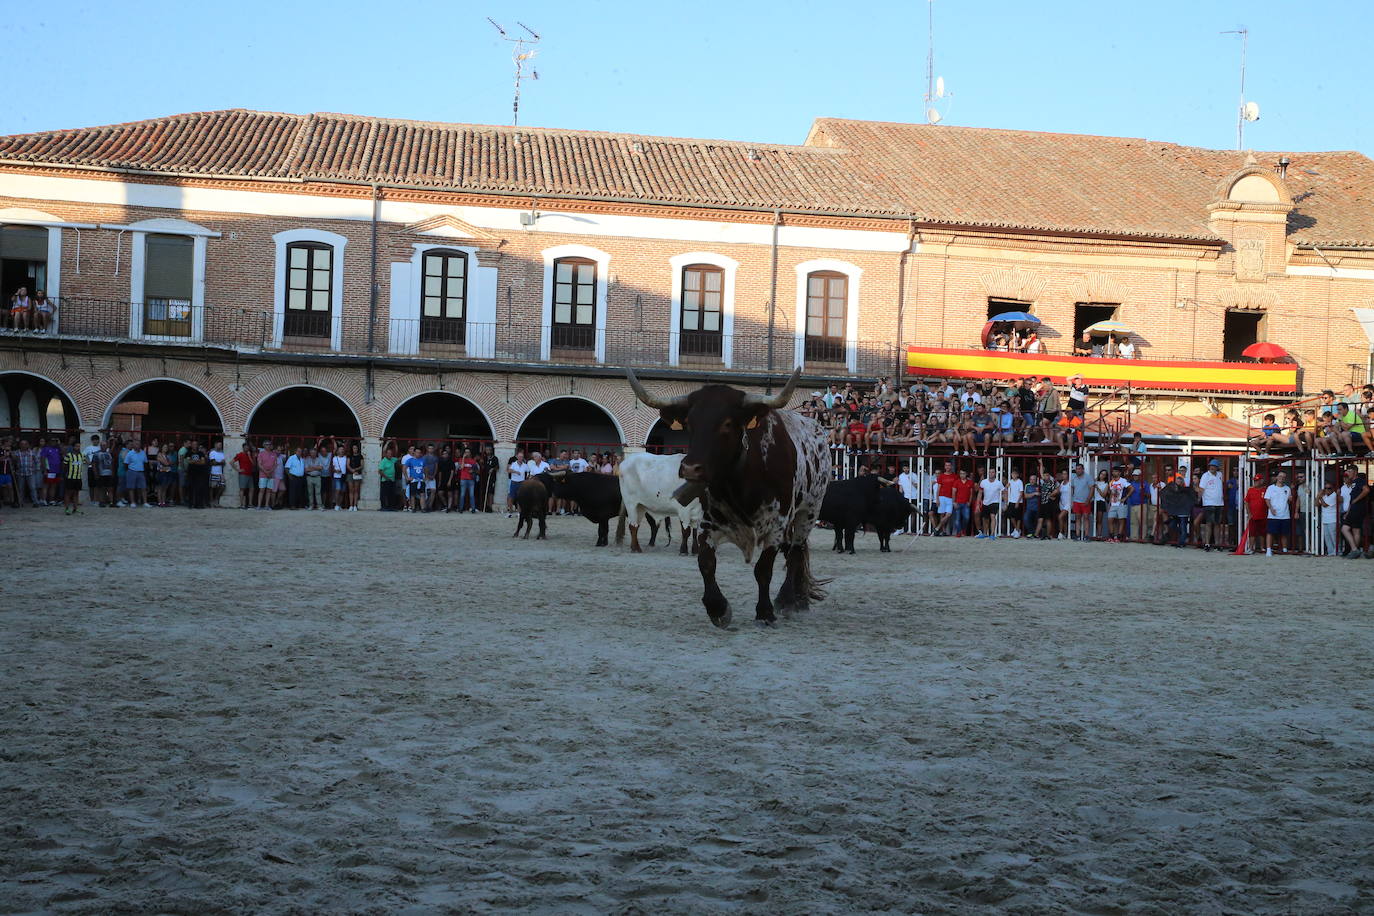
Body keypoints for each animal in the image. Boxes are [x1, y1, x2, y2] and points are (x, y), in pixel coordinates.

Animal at [629, 368, 829, 631]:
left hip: (809, 511)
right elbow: (705, 562)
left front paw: (765, 612)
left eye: (726, 423)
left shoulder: (776, 525)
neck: (740, 479)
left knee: (796, 551)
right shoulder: (708, 523)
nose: (690, 468)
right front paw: (718, 608)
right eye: (689, 424)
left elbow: (763, 569)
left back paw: (788, 600)